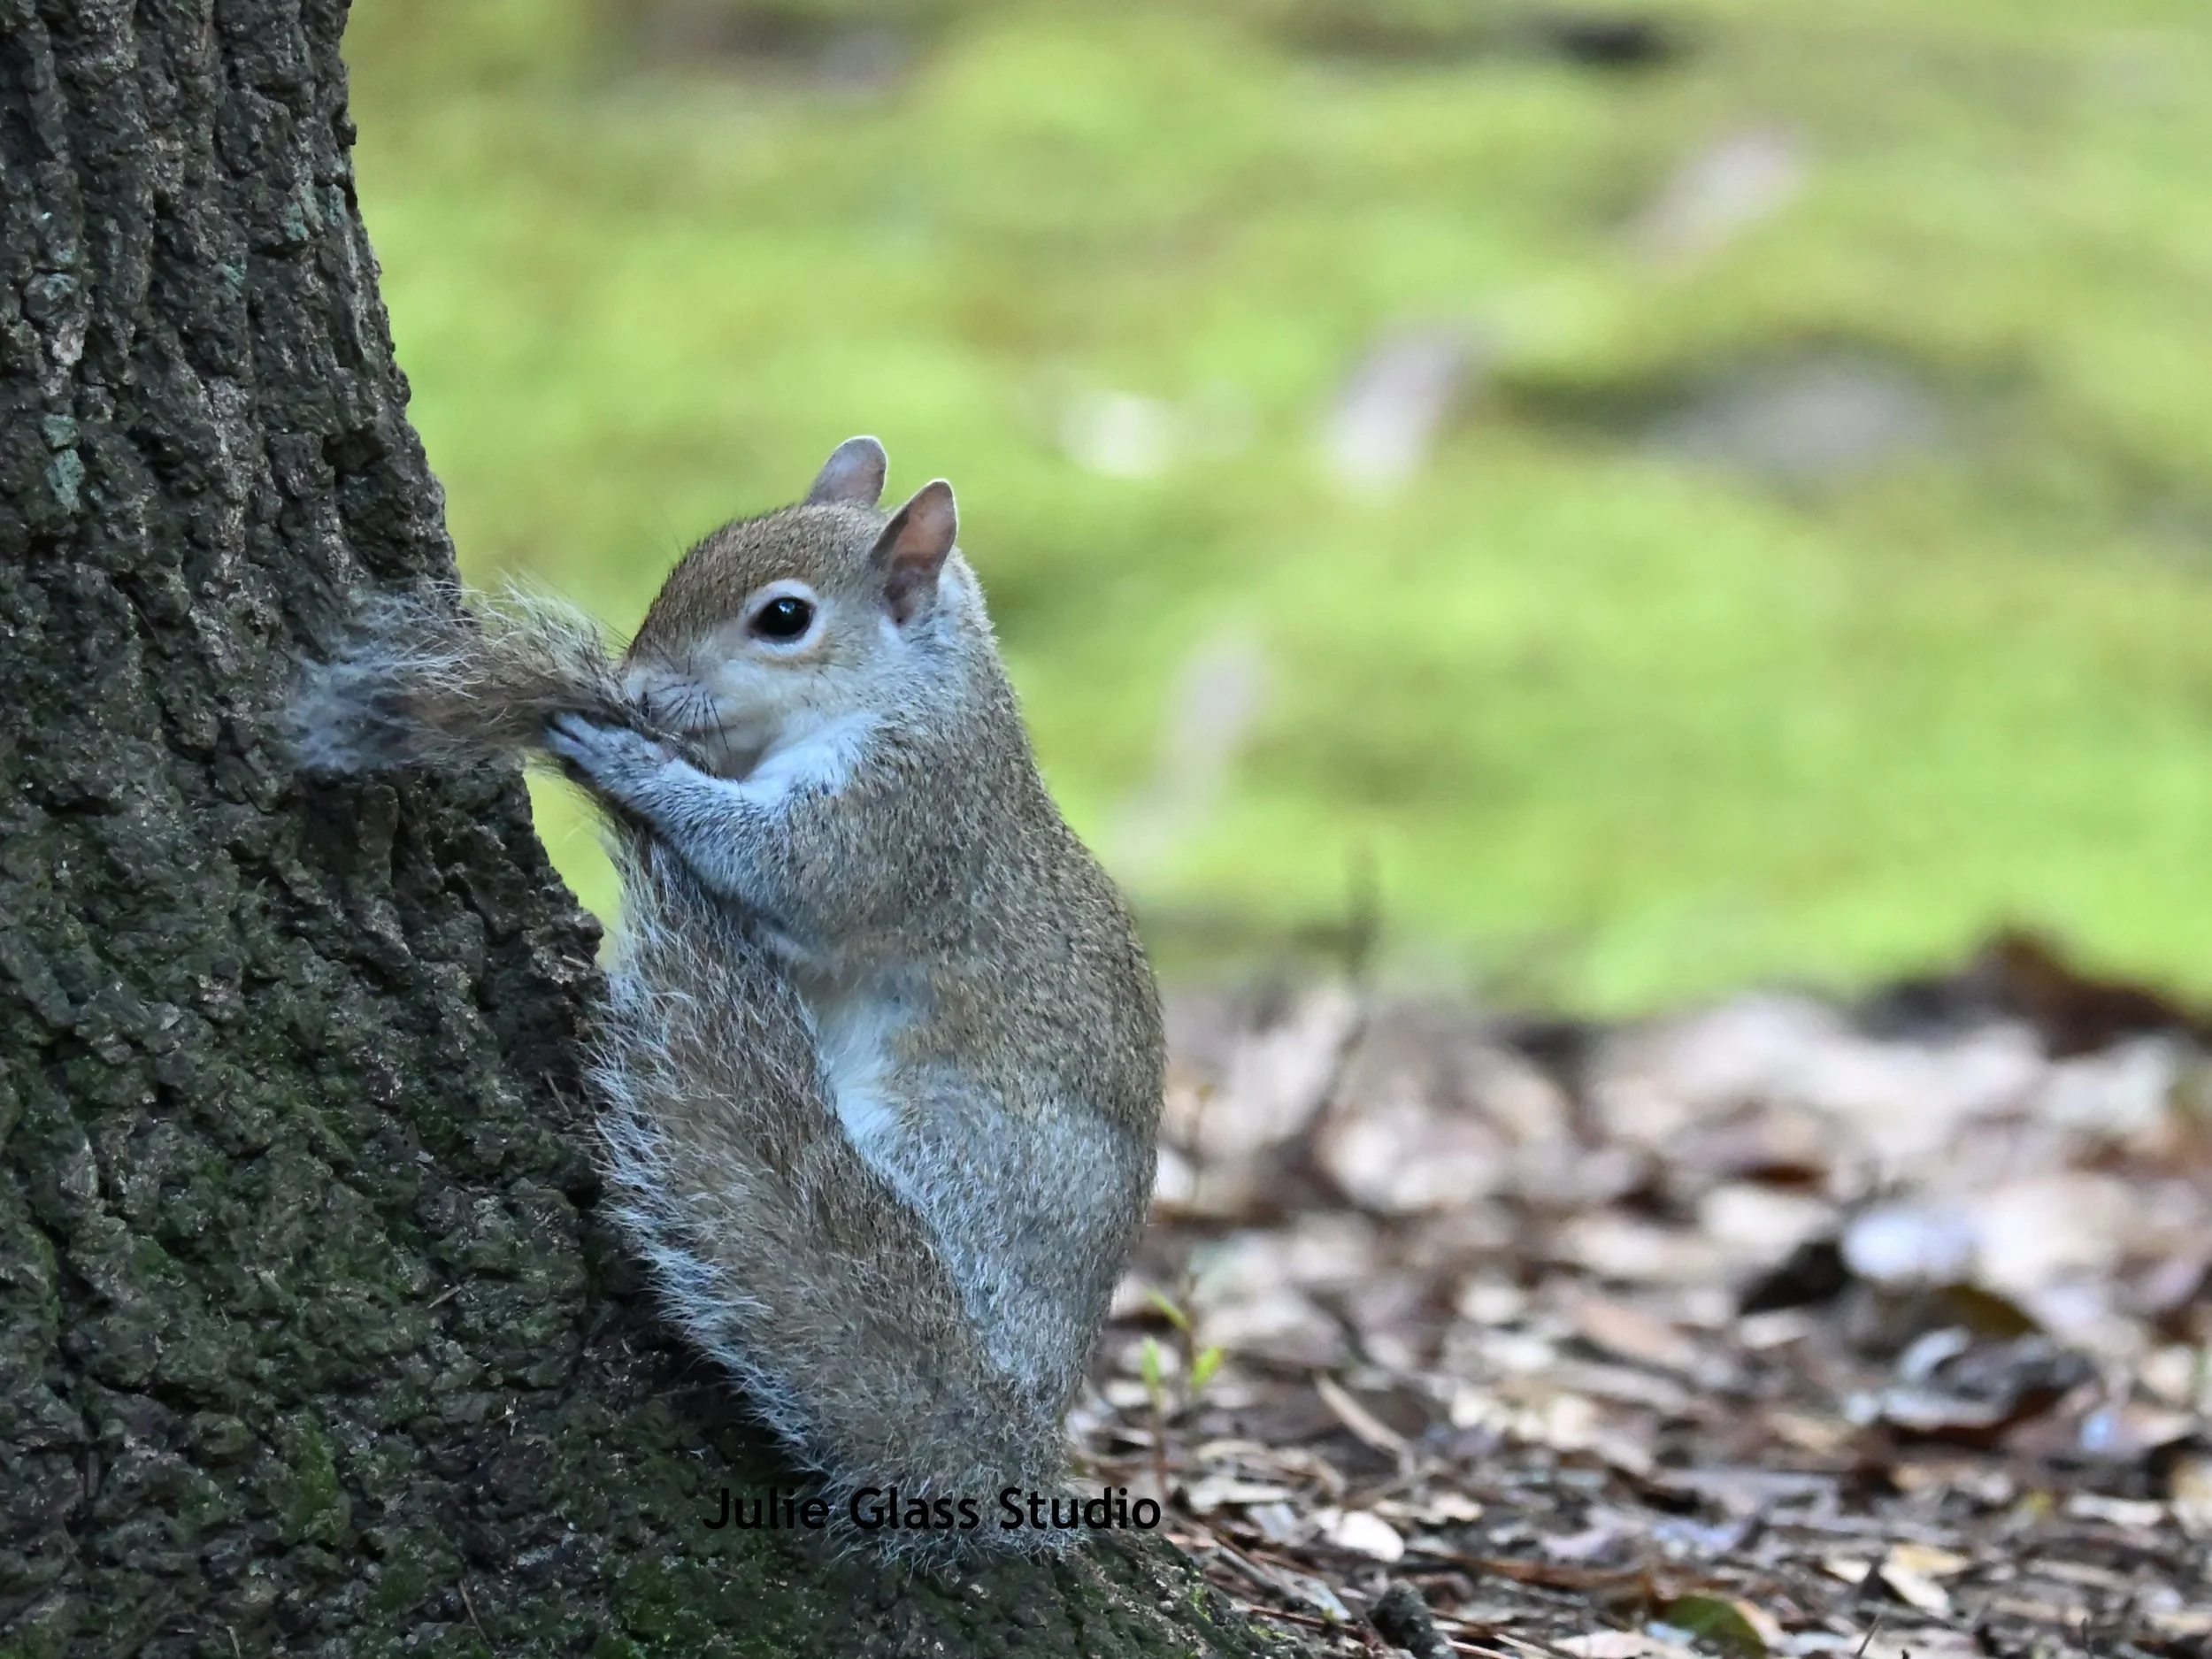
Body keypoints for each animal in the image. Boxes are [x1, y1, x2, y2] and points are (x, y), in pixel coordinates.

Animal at [294, 438, 1166, 1553]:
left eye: (783, 618)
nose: (634, 688)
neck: (911, 695)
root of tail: (1018, 1419)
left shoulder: (890, 819)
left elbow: (777, 863)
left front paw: (632, 759)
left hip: (951, 1148)